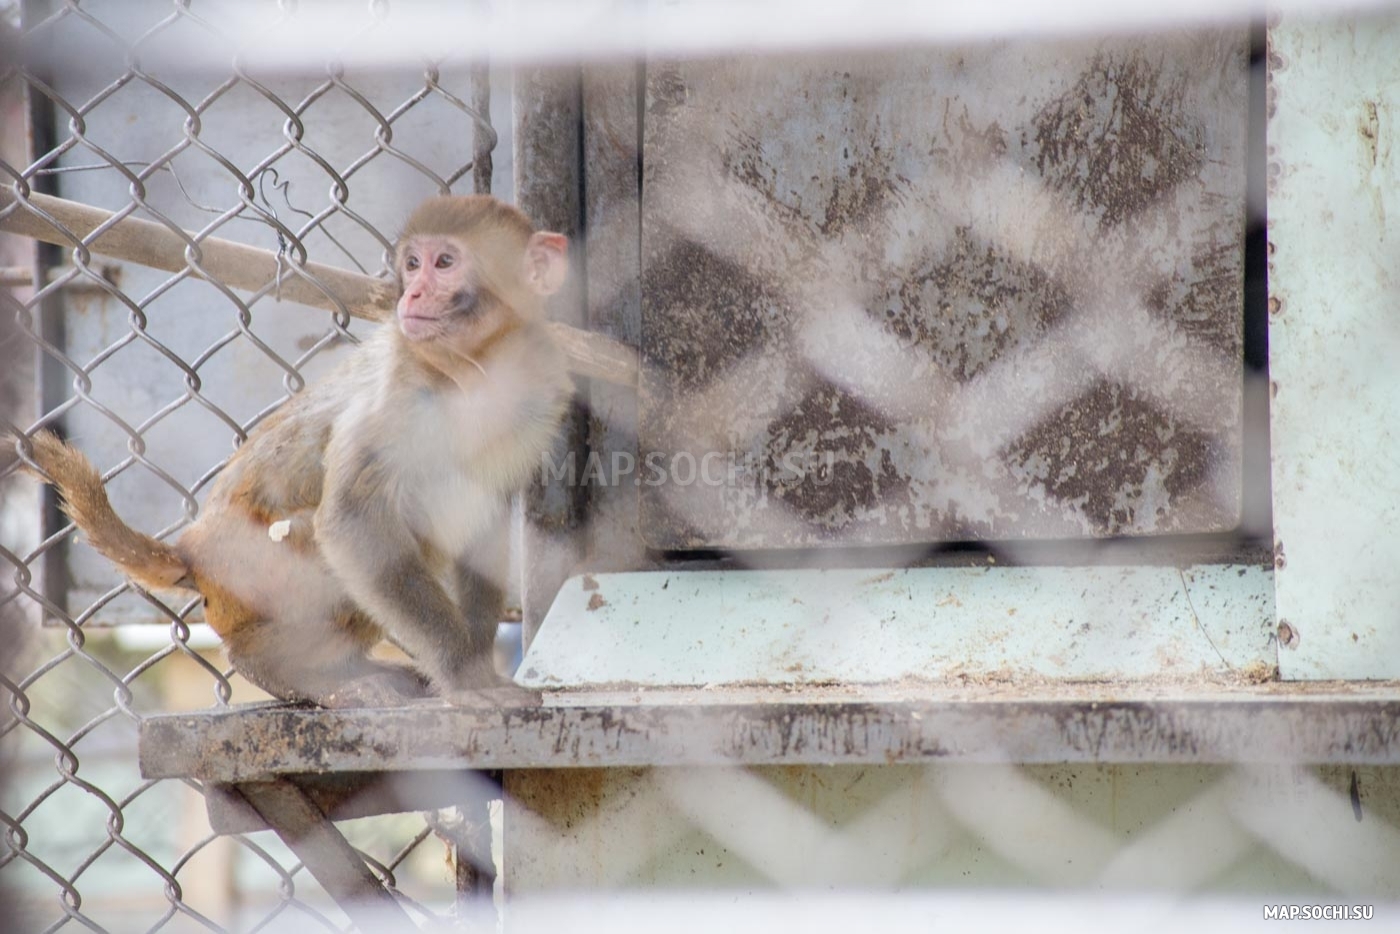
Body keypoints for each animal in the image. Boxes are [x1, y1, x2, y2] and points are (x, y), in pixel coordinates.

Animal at [10, 197, 574, 708]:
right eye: (414, 263)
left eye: (445, 262)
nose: (412, 291)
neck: (473, 372)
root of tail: (195, 548)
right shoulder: (402, 391)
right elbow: (352, 520)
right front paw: (464, 676)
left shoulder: (537, 393)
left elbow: (486, 517)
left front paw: (477, 663)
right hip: (251, 571)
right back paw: (281, 669)